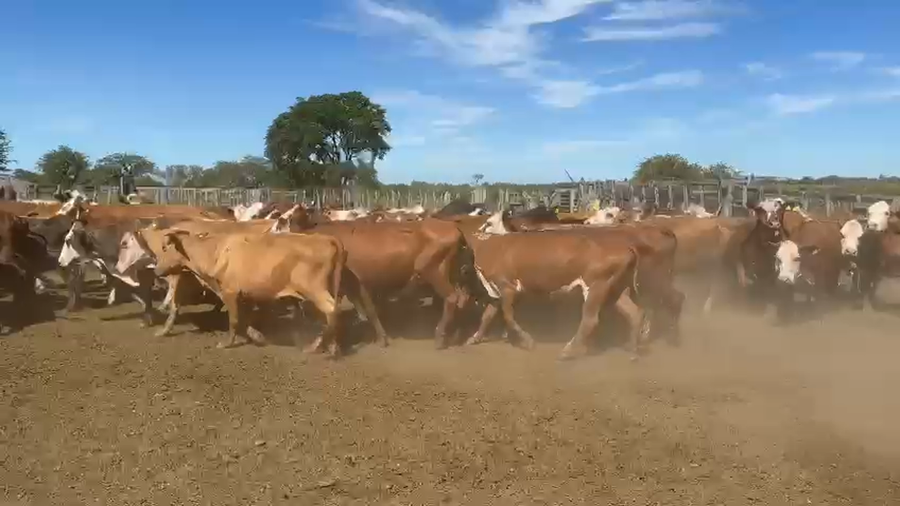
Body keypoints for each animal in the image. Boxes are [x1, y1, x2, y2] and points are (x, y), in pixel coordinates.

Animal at [150, 228, 348, 355]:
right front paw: (258, 337)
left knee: (332, 310)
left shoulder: (229, 292)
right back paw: (333, 346)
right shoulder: (244, 295)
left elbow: (234, 320)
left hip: (314, 290)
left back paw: (314, 347)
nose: (156, 270)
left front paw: (226, 343)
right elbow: (244, 319)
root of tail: (325, 238)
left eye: (165, 248)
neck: (215, 251)